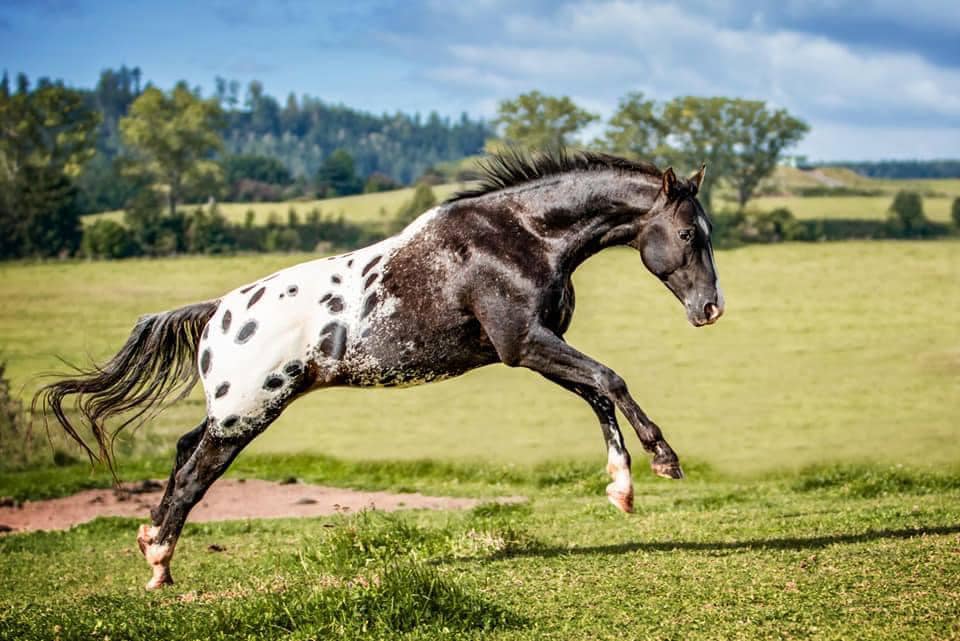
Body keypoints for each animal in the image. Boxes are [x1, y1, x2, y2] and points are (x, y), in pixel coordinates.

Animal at [35, 149, 724, 589]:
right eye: (690, 236)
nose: (711, 309)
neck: (521, 236)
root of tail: (217, 313)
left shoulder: (533, 347)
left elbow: (598, 393)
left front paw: (621, 488)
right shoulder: (524, 343)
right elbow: (610, 380)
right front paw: (664, 461)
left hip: (232, 412)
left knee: (183, 451)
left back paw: (157, 556)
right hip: (246, 413)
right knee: (192, 475)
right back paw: (157, 565)